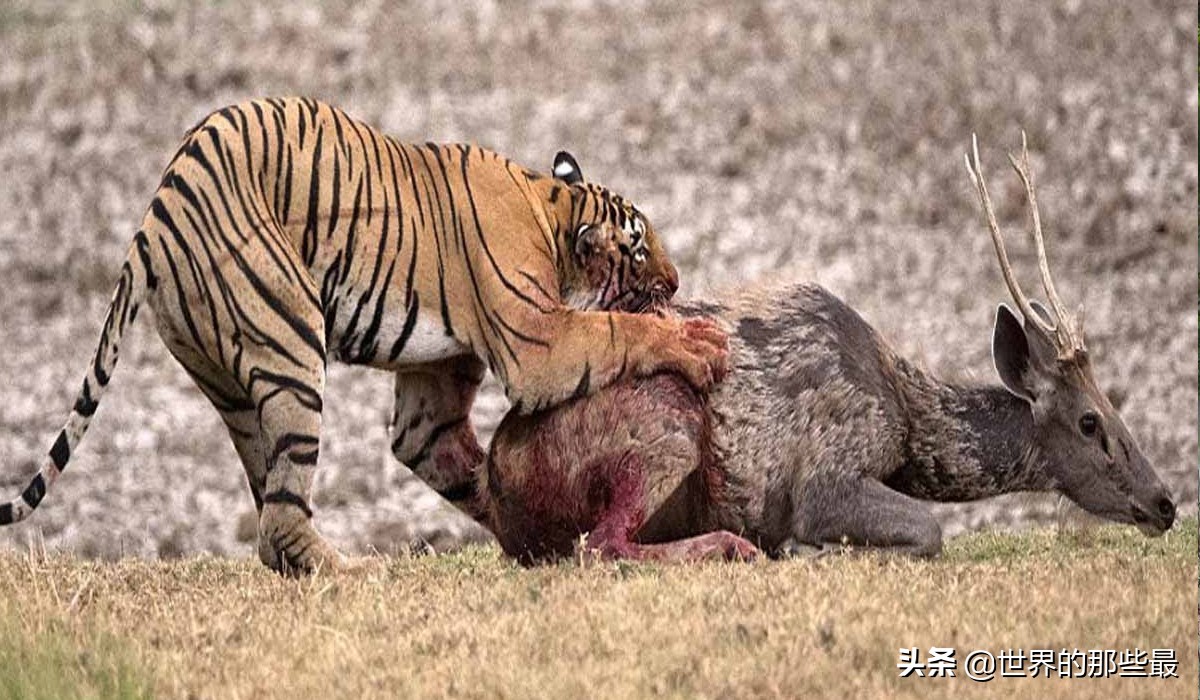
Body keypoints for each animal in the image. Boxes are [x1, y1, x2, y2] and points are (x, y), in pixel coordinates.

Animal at [0, 96, 724, 571]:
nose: (677, 280)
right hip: (292, 341)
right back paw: (356, 572)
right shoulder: (538, 344)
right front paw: (698, 345)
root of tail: (153, 217)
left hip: (227, 384)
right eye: (639, 249)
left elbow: (463, 470)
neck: (551, 209)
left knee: (270, 506)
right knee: (281, 518)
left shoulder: (430, 397)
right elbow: (618, 329)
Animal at [470, 136, 1180, 564]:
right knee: (603, 545)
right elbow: (929, 530)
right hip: (666, 423)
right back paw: (735, 548)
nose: (1166, 503)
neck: (906, 422)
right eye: (1090, 421)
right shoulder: (827, 473)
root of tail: (495, 476)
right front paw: (823, 550)